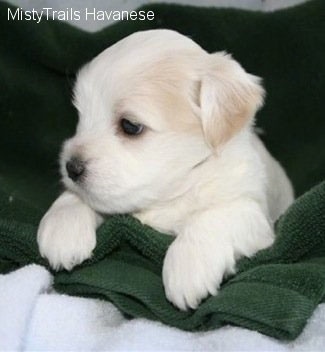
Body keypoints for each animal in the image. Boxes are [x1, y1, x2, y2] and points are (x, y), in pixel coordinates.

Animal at [36, 30, 292, 310]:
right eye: (81, 117)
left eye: (130, 126)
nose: (71, 167)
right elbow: (81, 199)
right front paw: (64, 225)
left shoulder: (254, 215)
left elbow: (213, 216)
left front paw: (188, 267)